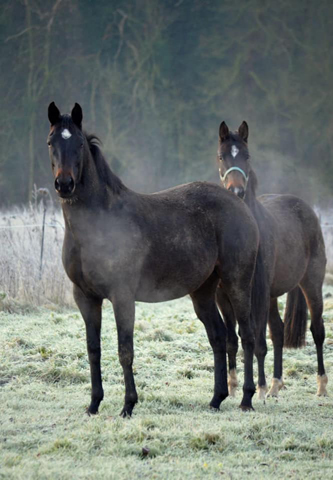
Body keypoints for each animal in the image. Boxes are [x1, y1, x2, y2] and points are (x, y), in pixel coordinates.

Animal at [46, 102, 260, 416]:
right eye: (51, 142)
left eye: (79, 143)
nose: (64, 184)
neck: (99, 223)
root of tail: (238, 202)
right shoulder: (85, 297)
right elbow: (93, 350)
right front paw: (94, 403)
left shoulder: (122, 297)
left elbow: (125, 350)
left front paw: (128, 405)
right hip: (203, 292)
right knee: (218, 336)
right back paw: (216, 399)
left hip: (237, 283)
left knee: (246, 335)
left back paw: (246, 398)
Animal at [215, 122, 326, 400]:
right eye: (221, 156)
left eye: (247, 156)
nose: (236, 192)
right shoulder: (224, 296)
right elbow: (232, 340)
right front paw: (233, 386)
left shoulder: (258, 293)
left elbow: (257, 341)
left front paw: (259, 389)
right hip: (274, 295)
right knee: (278, 330)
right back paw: (276, 384)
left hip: (310, 284)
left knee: (317, 330)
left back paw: (320, 385)